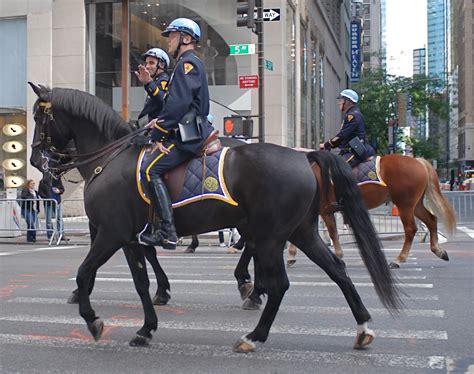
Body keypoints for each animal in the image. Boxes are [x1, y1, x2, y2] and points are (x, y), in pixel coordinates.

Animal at [28, 83, 400, 352]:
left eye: (39, 118)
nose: (35, 160)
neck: (110, 157)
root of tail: (303, 156)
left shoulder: (111, 233)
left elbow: (84, 272)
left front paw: (92, 320)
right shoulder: (129, 238)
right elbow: (140, 282)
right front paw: (146, 327)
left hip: (271, 235)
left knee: (279, 282)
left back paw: (253, 333)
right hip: (300, 232)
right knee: (337, 270)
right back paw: (362, 327)